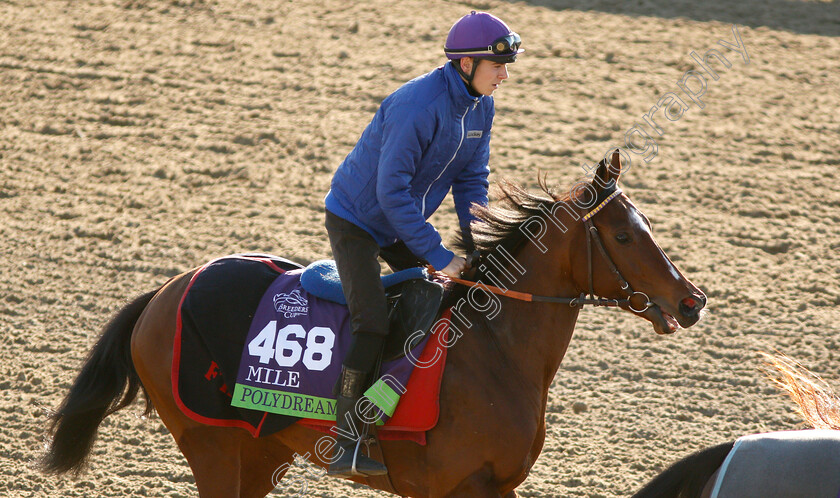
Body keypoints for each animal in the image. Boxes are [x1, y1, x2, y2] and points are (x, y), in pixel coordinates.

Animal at [41, 152, 708, 498]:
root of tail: (164, 292)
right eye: (624, 236)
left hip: (259, 449)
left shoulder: (497, 486)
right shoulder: (446, 488)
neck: (492, 353)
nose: (691, 301)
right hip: (212, 442)